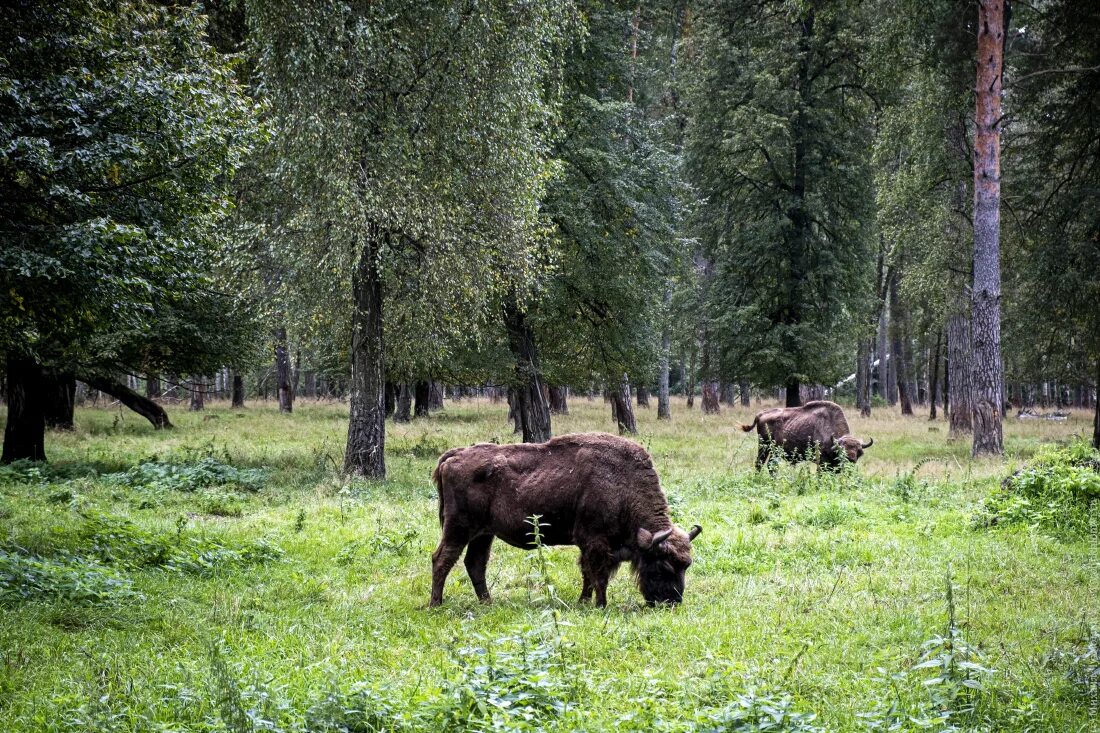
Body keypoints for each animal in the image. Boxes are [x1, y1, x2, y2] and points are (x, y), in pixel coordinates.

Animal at [424, 431, 699, 607]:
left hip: (483, 534)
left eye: (686, 565)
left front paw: (584, 602)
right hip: (459, 528)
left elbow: (588, 575)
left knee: (475, 563)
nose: (673, 602)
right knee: (442, 559)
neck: (623, 485)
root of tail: (454, 456)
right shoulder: (595, 542)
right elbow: (598, 576)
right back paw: (436, 604)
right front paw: (601, 605)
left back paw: (487, 602)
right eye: (664, 565)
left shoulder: (589, 546)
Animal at [739, 400, 875, 468]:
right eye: (843, 450)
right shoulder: (822, 460)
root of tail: (760, 414)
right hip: (764, 446)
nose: (851, 459)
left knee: (770, 465)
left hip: (774, 451)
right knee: (760, 463)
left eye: (859, 452)